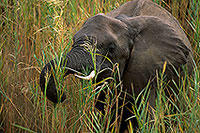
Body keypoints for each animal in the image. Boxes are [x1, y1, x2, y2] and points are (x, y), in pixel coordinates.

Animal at [39, 0, 194, 131]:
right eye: (73, 41)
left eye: (111, 48)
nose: (62, 95)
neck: (128, 24)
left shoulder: (154, 71)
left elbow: (149, 115)